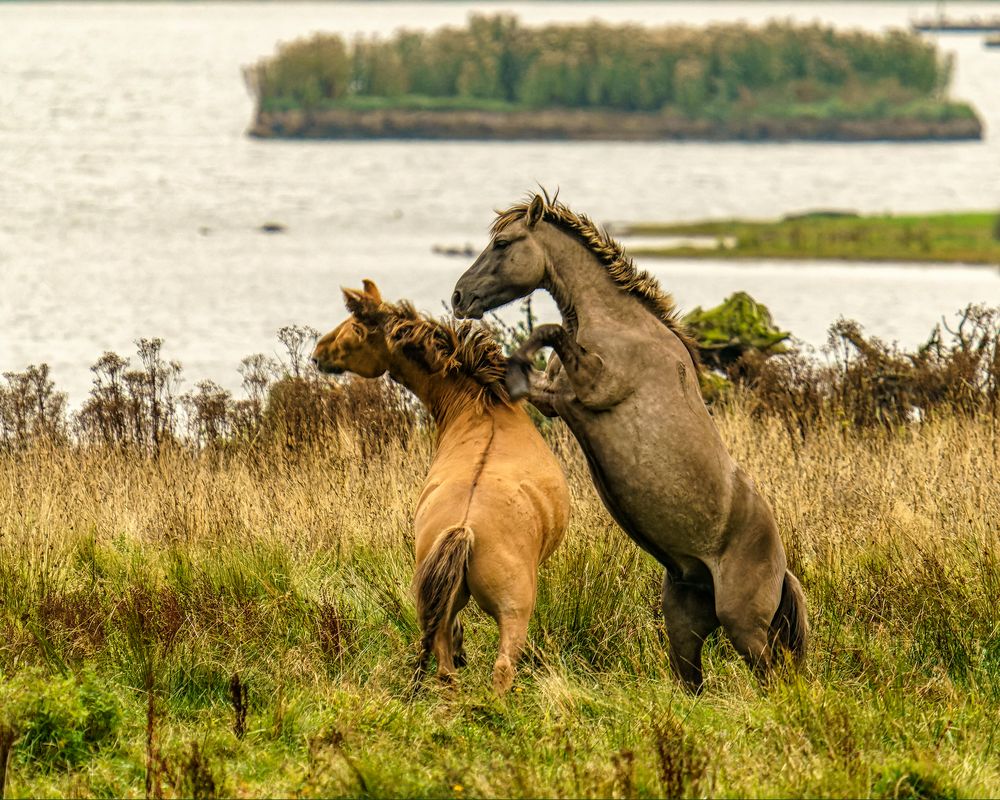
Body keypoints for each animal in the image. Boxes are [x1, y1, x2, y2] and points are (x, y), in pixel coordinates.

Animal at [312, 282, 568, 692]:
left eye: (355, 327)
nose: (318, 353)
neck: (484, 408)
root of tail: (463, 529)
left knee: (445, 667)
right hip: (515, 610)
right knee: (502, 666)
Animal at [452, 191, 804, 692]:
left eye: (503, 243)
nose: (459, 297)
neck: (620, 324)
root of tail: (781, 565)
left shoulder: (592, 386)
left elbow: (547, 332)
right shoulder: (556, 398)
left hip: (745, 627)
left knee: (772, 676)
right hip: (684, 621)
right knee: (693, 681)